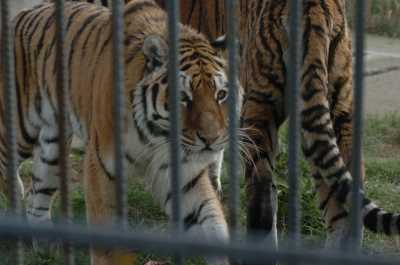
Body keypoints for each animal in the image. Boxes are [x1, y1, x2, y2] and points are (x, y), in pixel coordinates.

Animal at [2, 1, 244, 262]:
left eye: (221, 94)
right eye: (183, 97)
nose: (211, 138)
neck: (157, 135)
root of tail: (26, 12)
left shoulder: (183, 171)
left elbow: (210, 222)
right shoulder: (101, 167)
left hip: (54, 148)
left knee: (38, 192)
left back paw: (48, 246)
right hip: (20, 128)